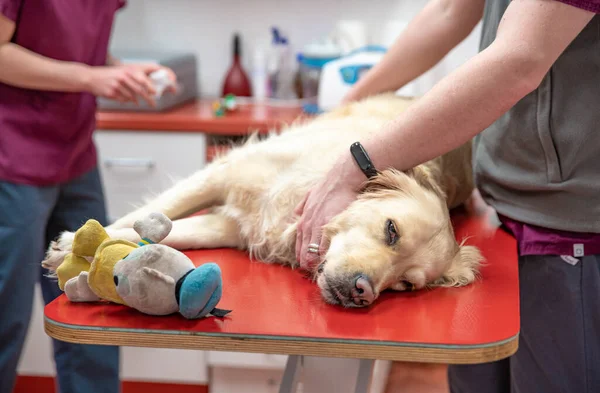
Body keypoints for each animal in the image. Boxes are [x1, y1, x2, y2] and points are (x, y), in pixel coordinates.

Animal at [42, 94, 482, 306]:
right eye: (391, 230)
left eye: (406, 285)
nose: (363, 293)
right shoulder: (223, 172)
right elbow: (153, 212)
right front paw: (73, 243)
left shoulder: (233, 227)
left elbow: (178, 232)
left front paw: (88, 248)